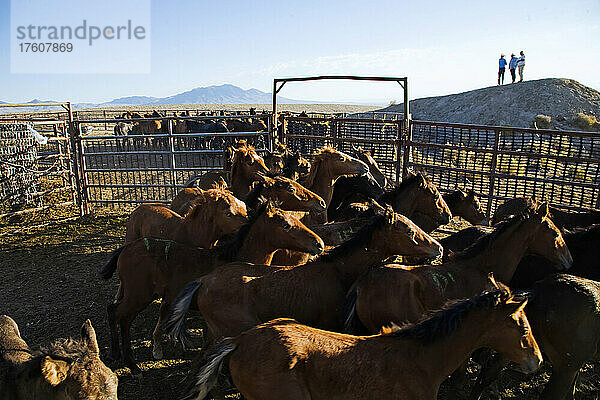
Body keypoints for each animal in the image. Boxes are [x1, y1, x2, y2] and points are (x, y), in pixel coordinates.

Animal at [98, 202, 324, 374]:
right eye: (285, 224)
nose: (319, 244)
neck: (231, 257)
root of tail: (125, 249)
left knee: (117, 314)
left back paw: (118, 355)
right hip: (138, 296)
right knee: (119, 315)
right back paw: (130, 363)